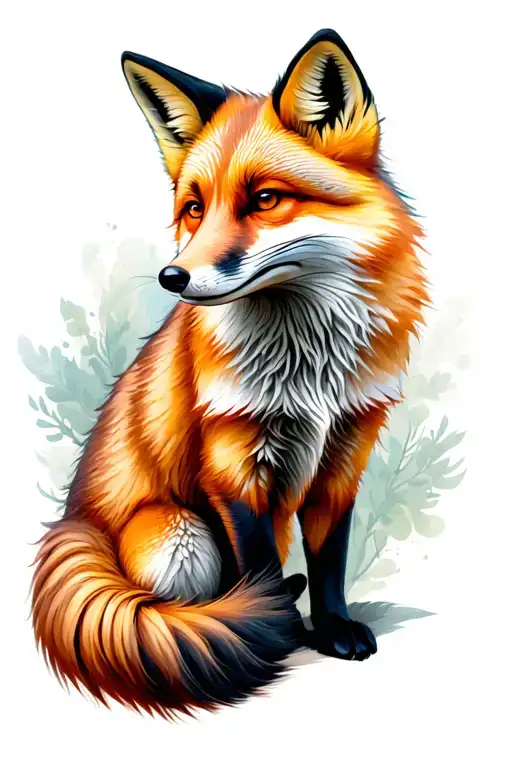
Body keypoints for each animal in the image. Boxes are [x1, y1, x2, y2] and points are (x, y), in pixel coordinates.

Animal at [31, 28, 428, 718]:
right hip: (178, 531)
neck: (309, 366)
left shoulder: (345, 450)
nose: (174, 277)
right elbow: (262, 566)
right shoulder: (232, 456)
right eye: (194, 208)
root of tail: (73, 519)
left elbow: (328, 561)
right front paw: (274, 630)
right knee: (168, 607)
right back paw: (221, 622)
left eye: (265, 199)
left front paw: (330, 626)